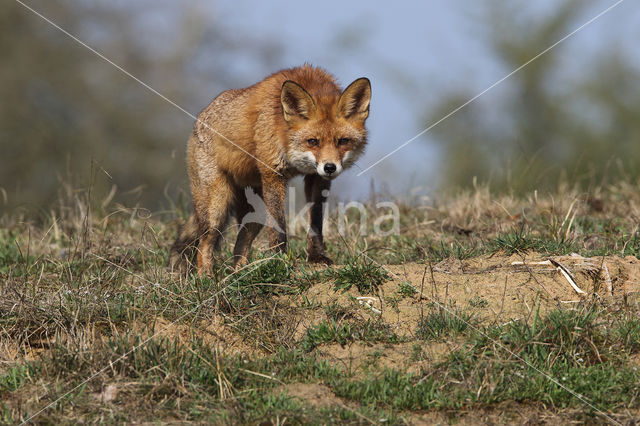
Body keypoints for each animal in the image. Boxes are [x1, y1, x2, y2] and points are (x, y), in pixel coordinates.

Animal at [168, 64, 372, 274]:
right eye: (313, 141)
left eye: (343, 141)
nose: (330, 167)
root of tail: (199, 118)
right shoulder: (273, 173)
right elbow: (277, 226)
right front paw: (280, 260)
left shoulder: (317, 178)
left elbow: (315, 222)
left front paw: (317, 257)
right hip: (217, 206)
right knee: (204, 245)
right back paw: (207, 277)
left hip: (254, 212)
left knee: (239, 247)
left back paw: (240, 274)